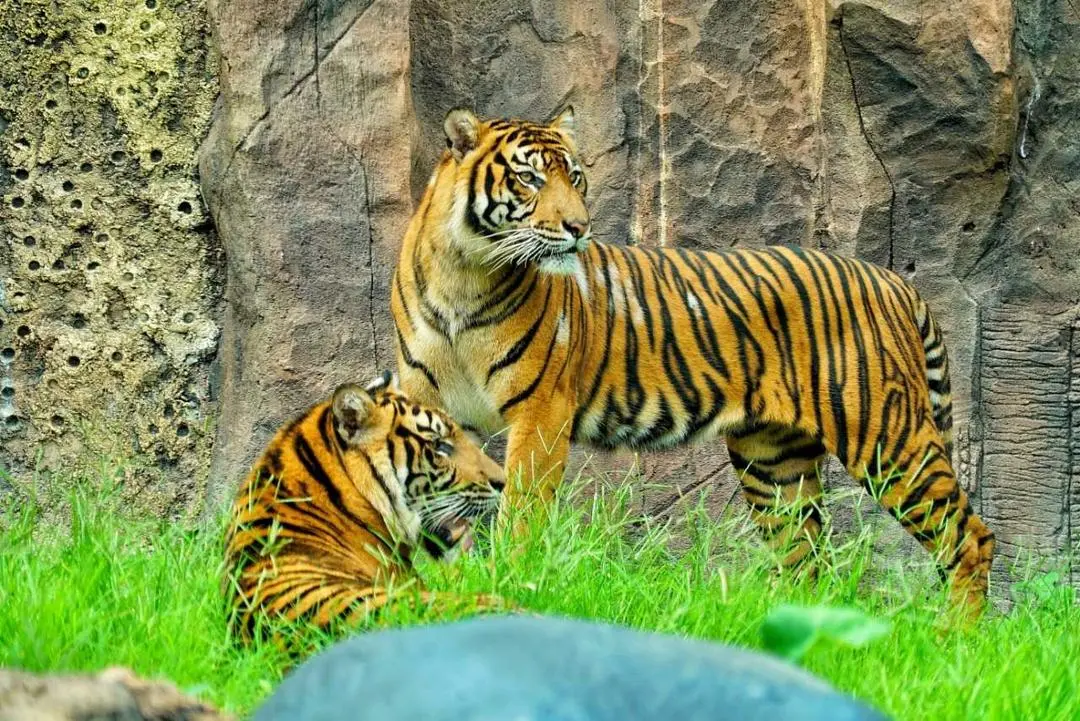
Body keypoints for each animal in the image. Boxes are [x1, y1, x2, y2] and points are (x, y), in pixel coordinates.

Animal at [389, 107, 995, 611]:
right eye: (530, 178)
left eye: (576, 178)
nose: (580, 228)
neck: (463, 275)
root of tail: (893, 279)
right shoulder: (427, 406)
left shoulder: (541, 412)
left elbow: (522, 511)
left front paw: (517, 579)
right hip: (775, 460)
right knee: (806, 557)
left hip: (884, 434)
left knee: (968, 536)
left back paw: (954, 639)